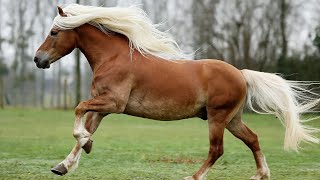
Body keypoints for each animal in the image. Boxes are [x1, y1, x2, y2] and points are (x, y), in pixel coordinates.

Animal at [33, 4, 318, 180]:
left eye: (54, 32)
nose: (38, 59)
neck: (113, 57)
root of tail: (241, 74)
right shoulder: (102, 107)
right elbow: (85, 130)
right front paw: (64, 165)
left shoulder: (113, 103)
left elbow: (78, 110)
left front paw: (81, 146)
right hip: (232, 119)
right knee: (253, 139)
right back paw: (260, 174)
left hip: (218, 118)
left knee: (217, 150)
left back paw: (193, 176)